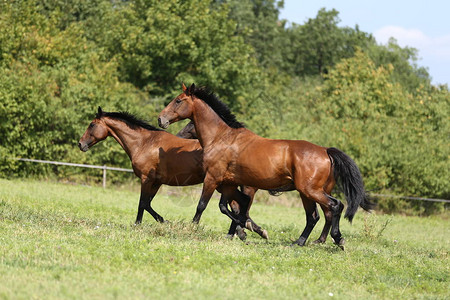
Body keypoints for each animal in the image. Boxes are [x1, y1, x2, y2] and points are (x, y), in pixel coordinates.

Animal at [78, 106, 268, 240]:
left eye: (92, 124)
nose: (81, 144)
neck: (145, 143)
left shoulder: (147, 179)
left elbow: (142, 204)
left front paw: (138, 225)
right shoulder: (156, 182)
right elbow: (147, 204)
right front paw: (164, 221)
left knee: (238, 207)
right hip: (225, 185)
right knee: (239, 206)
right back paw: (245, 232)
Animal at [158, 84, 372, 248]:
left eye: (178, 100)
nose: (161, 119)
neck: (222, 138)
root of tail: (325, 150)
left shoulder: (213, 178)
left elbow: (204, 206)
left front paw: (193, 229)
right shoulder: (228, 183)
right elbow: (231, 208)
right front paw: (243, 231)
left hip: (311, 190)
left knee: (334, 207)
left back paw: (335, 239)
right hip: (307, 193)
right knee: (315, 216)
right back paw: (302, 242)